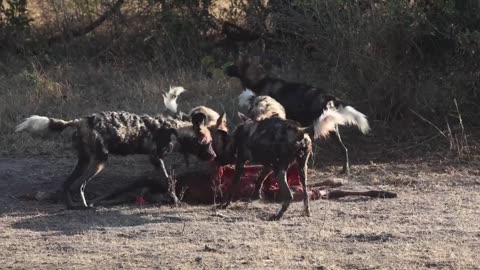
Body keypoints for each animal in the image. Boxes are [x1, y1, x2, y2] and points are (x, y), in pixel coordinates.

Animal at [193, 108, 354, 220]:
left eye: (211, 145)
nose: (215, 160)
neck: (234, 138)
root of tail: (299, 130)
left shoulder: (241, 164)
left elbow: (233, 186)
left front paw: (224, 205)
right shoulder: (268, 166)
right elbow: (259, 180)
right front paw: (256, 196)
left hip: (280, 170)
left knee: (289, 196)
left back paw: (277, 216)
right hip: (301, 169)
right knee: (306, 194)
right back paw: (306, 212)